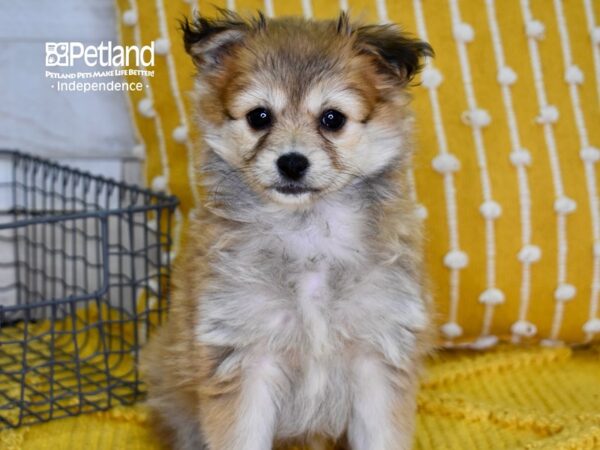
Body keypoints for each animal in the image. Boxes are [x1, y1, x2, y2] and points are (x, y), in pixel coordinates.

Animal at [143, 9, 434, 450]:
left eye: (333, 119)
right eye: (259, 116)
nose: (292, 162)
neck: (307, 232)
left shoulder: (378, 355)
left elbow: (380, 435)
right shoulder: (246, 357)